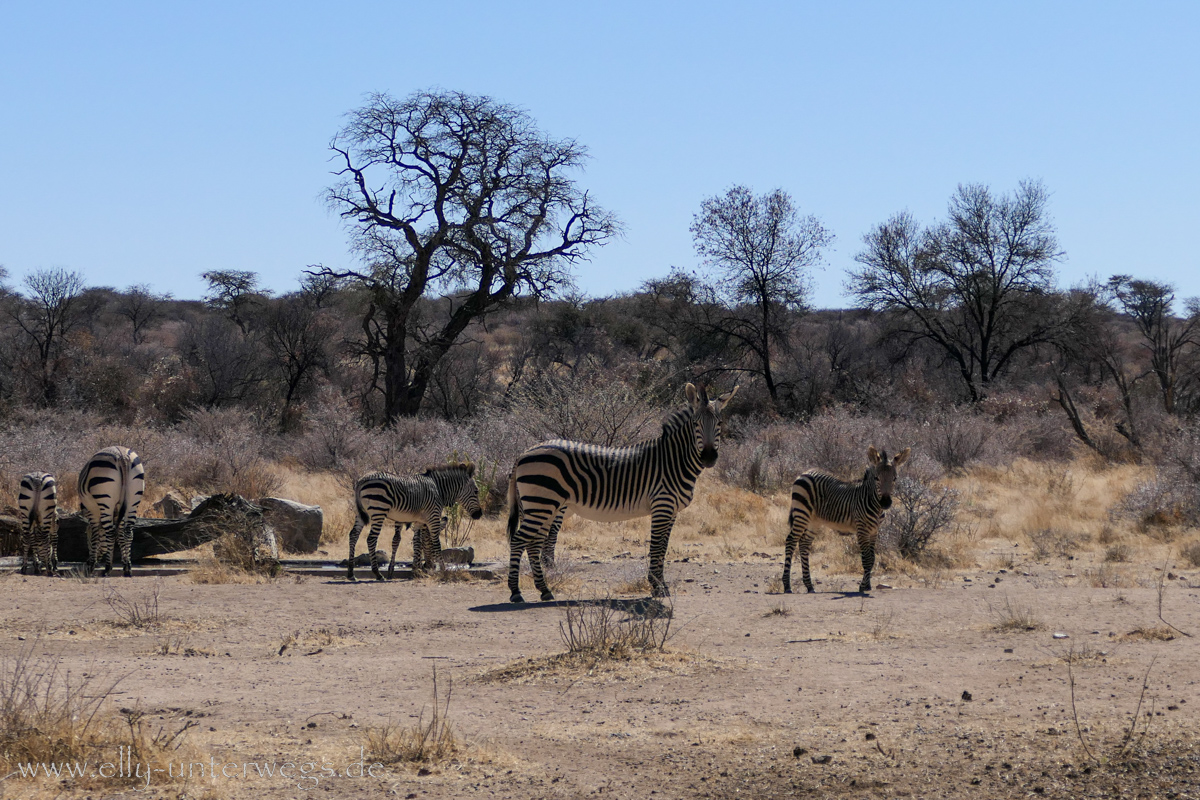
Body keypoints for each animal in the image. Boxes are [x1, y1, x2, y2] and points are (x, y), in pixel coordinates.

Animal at [79, 448, 147, 578]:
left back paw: (107, 568)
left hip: (105, 499)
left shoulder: (92, 512)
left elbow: (96, 535)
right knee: (128, 532)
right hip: (133, 499)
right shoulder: (119, 512)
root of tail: (122, 456)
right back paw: (128, 569)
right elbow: (120, 535)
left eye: (87, 540)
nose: (86, 562)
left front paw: (91, 566)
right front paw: (125, 563)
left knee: (110, 533)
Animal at [345, 462, 480, 582]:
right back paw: (377, 574)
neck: (438, 489)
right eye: (476, 491)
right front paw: (443, 570)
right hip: (379, 510)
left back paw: (351, 573)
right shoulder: (433, 518)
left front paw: (417, 570)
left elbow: (417, 542)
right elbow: (436, 544)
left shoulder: (419, 521)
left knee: (353, 535)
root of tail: (362, 480)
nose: (479, 514)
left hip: (361, 513)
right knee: (371, 539)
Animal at [504, 383, 729, 604]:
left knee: (533, 543)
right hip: (541, 503)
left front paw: (660, 585)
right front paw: (657, 587)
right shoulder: (662, 506)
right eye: (696, 424)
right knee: (518, 541)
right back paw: (516, 591)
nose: (709, 457)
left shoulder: (672, 511)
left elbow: (664, 547)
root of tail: (524, 452)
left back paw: (544, 590)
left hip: (543, 506)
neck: (673, 461)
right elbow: (657, 546)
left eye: (719, 423)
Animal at [777, 450, 907, 594]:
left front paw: (868, 585)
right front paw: (862, 587)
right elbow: (866, 559)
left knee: (804, 544)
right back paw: (787, 585)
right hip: (802, 513)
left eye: (895, 479)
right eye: (876, 478)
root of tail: (804, 473)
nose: (885, 502)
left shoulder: (874, 531)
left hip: (813, 521)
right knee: (791, 541)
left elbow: (872, 558)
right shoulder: (862, 529)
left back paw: (809, 585)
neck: (872, 502)